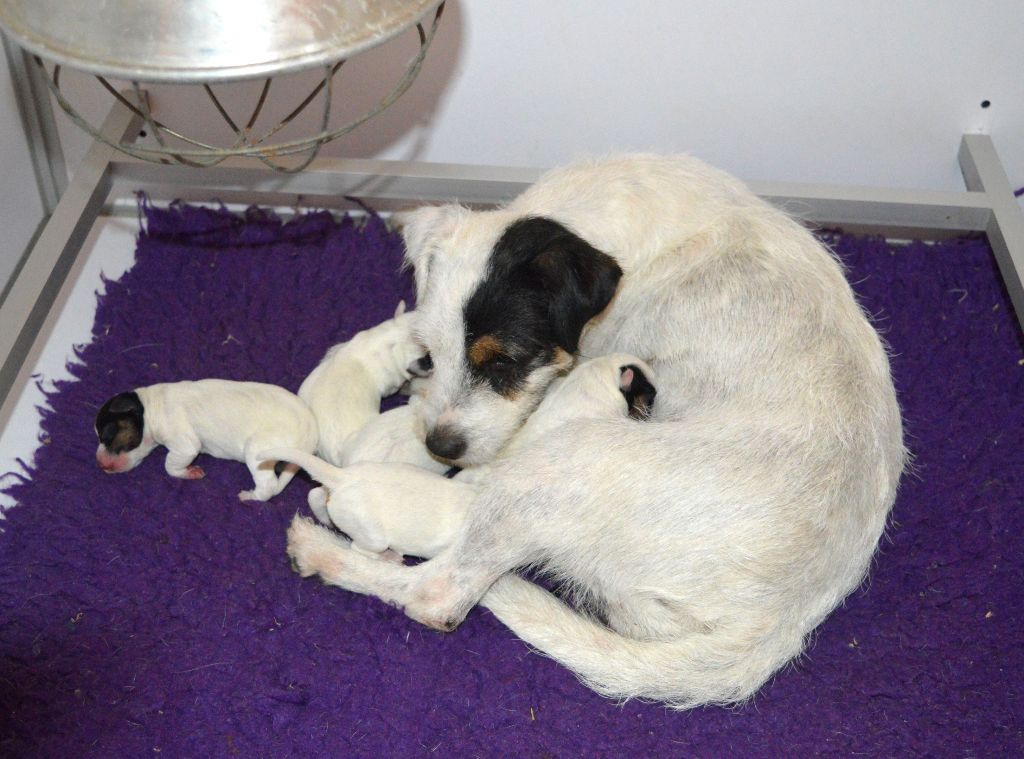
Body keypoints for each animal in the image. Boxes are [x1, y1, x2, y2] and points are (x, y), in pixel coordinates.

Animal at [96, 381, 319, 499]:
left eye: (107, 434)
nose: (100, 464)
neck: (150, 407)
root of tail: (310, 436)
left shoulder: (185, 444)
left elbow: (170, 465)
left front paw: (187, 472)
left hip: (259, 450)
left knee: (269, 486)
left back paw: (251, 496)